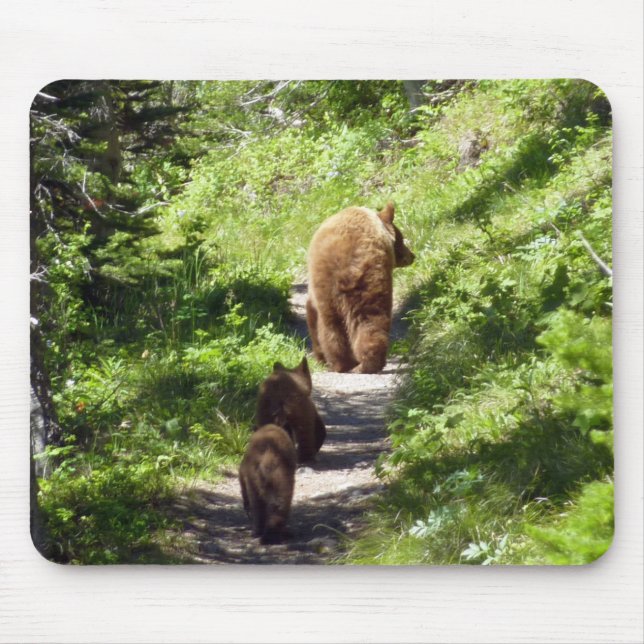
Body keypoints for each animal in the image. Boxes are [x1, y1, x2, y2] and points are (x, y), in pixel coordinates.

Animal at [306, 202, 415, 374]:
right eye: (402, 238)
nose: (412, 255)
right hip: (365, 283)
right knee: (366, 321)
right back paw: (361, 364)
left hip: (337, 287)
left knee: (336, 326)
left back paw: (345, 364)